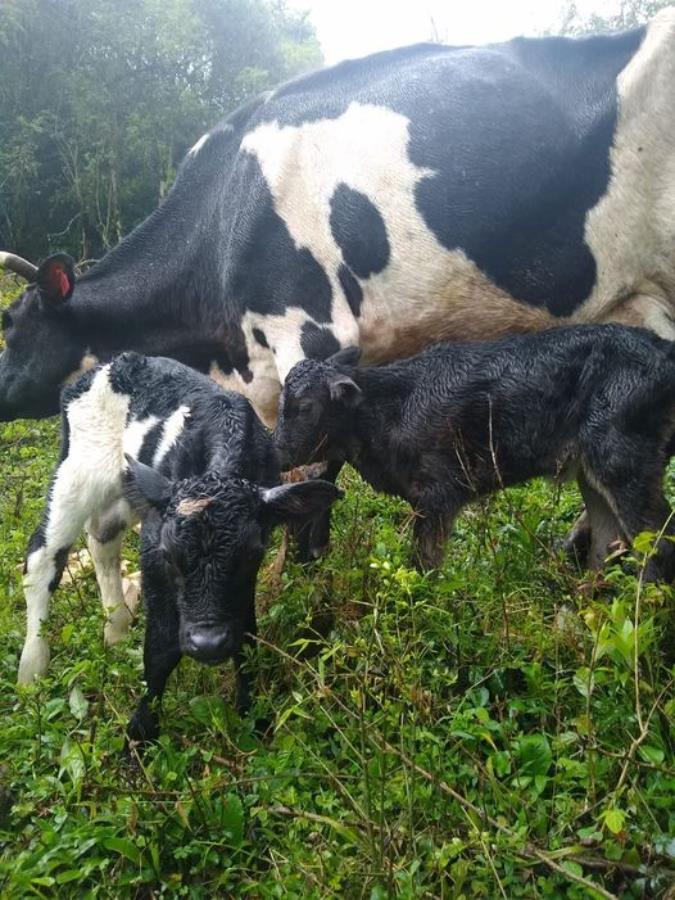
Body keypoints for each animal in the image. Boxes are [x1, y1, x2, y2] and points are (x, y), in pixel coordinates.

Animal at [19, 351, 340, 740]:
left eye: (252, 554)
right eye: (170, 555)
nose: (208, 643)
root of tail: (110, 366)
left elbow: (246, 633)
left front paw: (253, 716)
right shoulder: (154, 550)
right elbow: (162, 647)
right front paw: (140, 733)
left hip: (129, 487)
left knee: (103, 536)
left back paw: (116, 629)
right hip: (77, 471)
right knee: (42, 556)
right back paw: (32, 667)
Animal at [274, 327, 675, 577]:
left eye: (305, 407)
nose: (276, 452)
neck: (387, 410)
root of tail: (663, 350)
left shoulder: (439, 494)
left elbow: (424, 565)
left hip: (626, 461)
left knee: (657, 545)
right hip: (595, 472)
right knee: (607, 545)